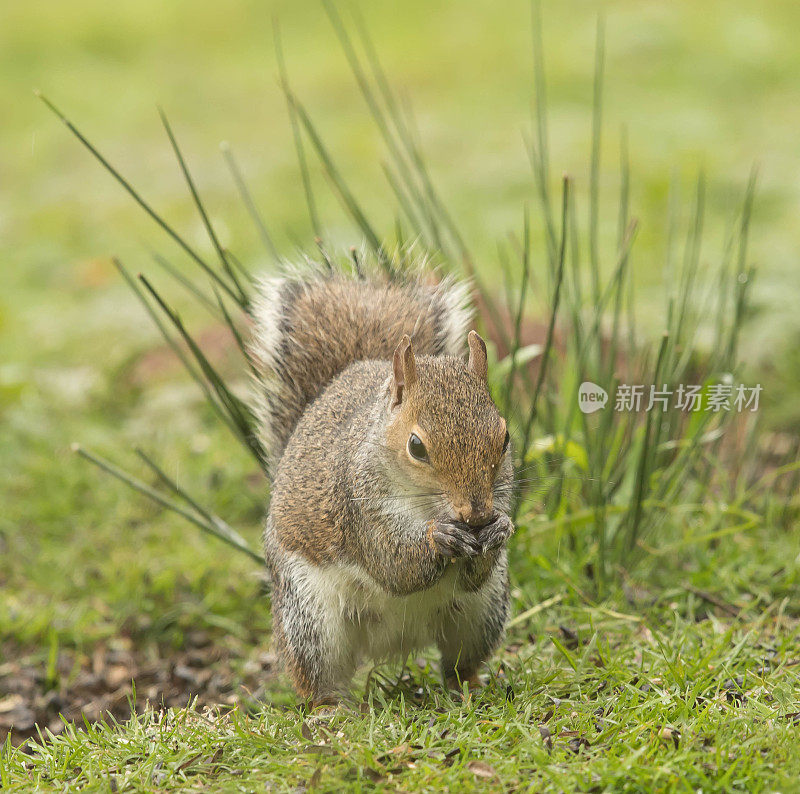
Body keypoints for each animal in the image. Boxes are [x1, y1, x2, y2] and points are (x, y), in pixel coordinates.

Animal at [250, 256, 512, 704]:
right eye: (416, 446)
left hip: (482, 614)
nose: (476, 514)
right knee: (318, 676)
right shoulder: (358, 508)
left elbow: (475, 573)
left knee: (458, 663)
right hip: (308, 620)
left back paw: (470, 688)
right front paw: (439, 538)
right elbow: (393, 566)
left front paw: (500, 530)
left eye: (506, 436)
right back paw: (330, 708)